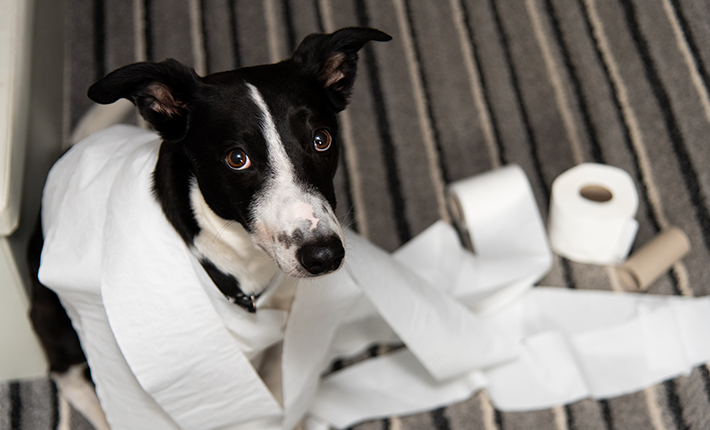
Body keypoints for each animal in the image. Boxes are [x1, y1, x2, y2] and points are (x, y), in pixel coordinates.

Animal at [29, 27, 390, 430]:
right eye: (237, 158)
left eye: (321, 139)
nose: (324, 255)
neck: (245, 261)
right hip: (58, 322)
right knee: (69, 376)